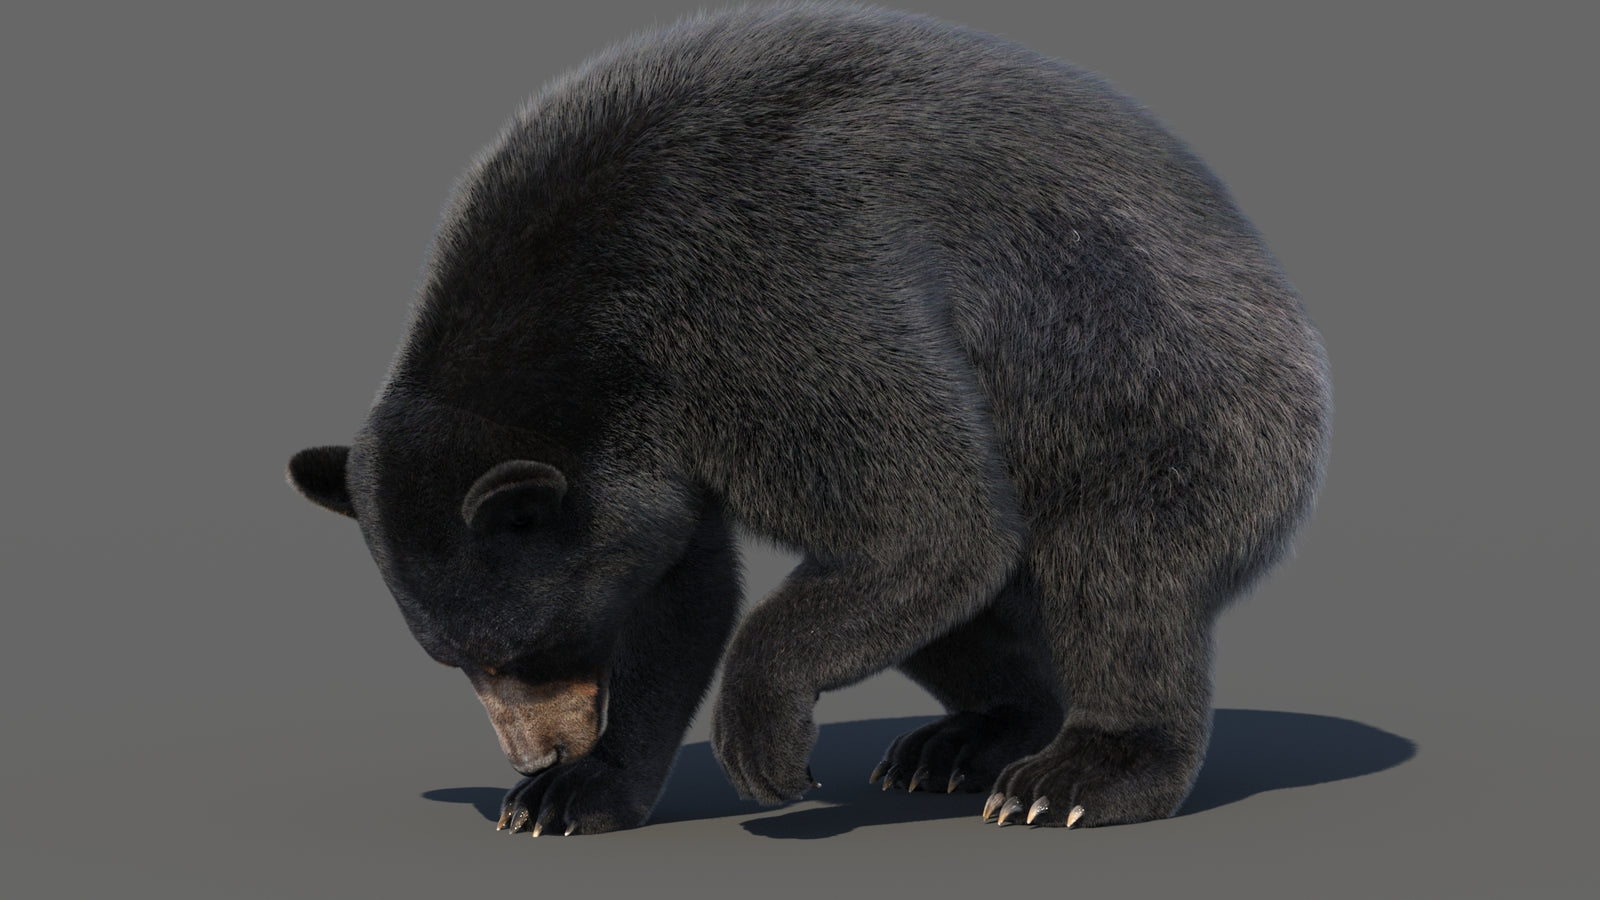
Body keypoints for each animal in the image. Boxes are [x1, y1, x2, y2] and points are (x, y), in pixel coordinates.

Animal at [287, 2, 1331, 836]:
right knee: (962, 613)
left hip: (1164, 394)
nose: (535, 754)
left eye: (527, 648)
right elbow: (684, 584)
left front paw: (760, 748)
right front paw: (576, 795)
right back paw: (968, 740)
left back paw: (1074, 775)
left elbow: (930, 514)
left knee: (1121, 573)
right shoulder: (654, 430)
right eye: (452, 657)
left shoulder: (769, 295)